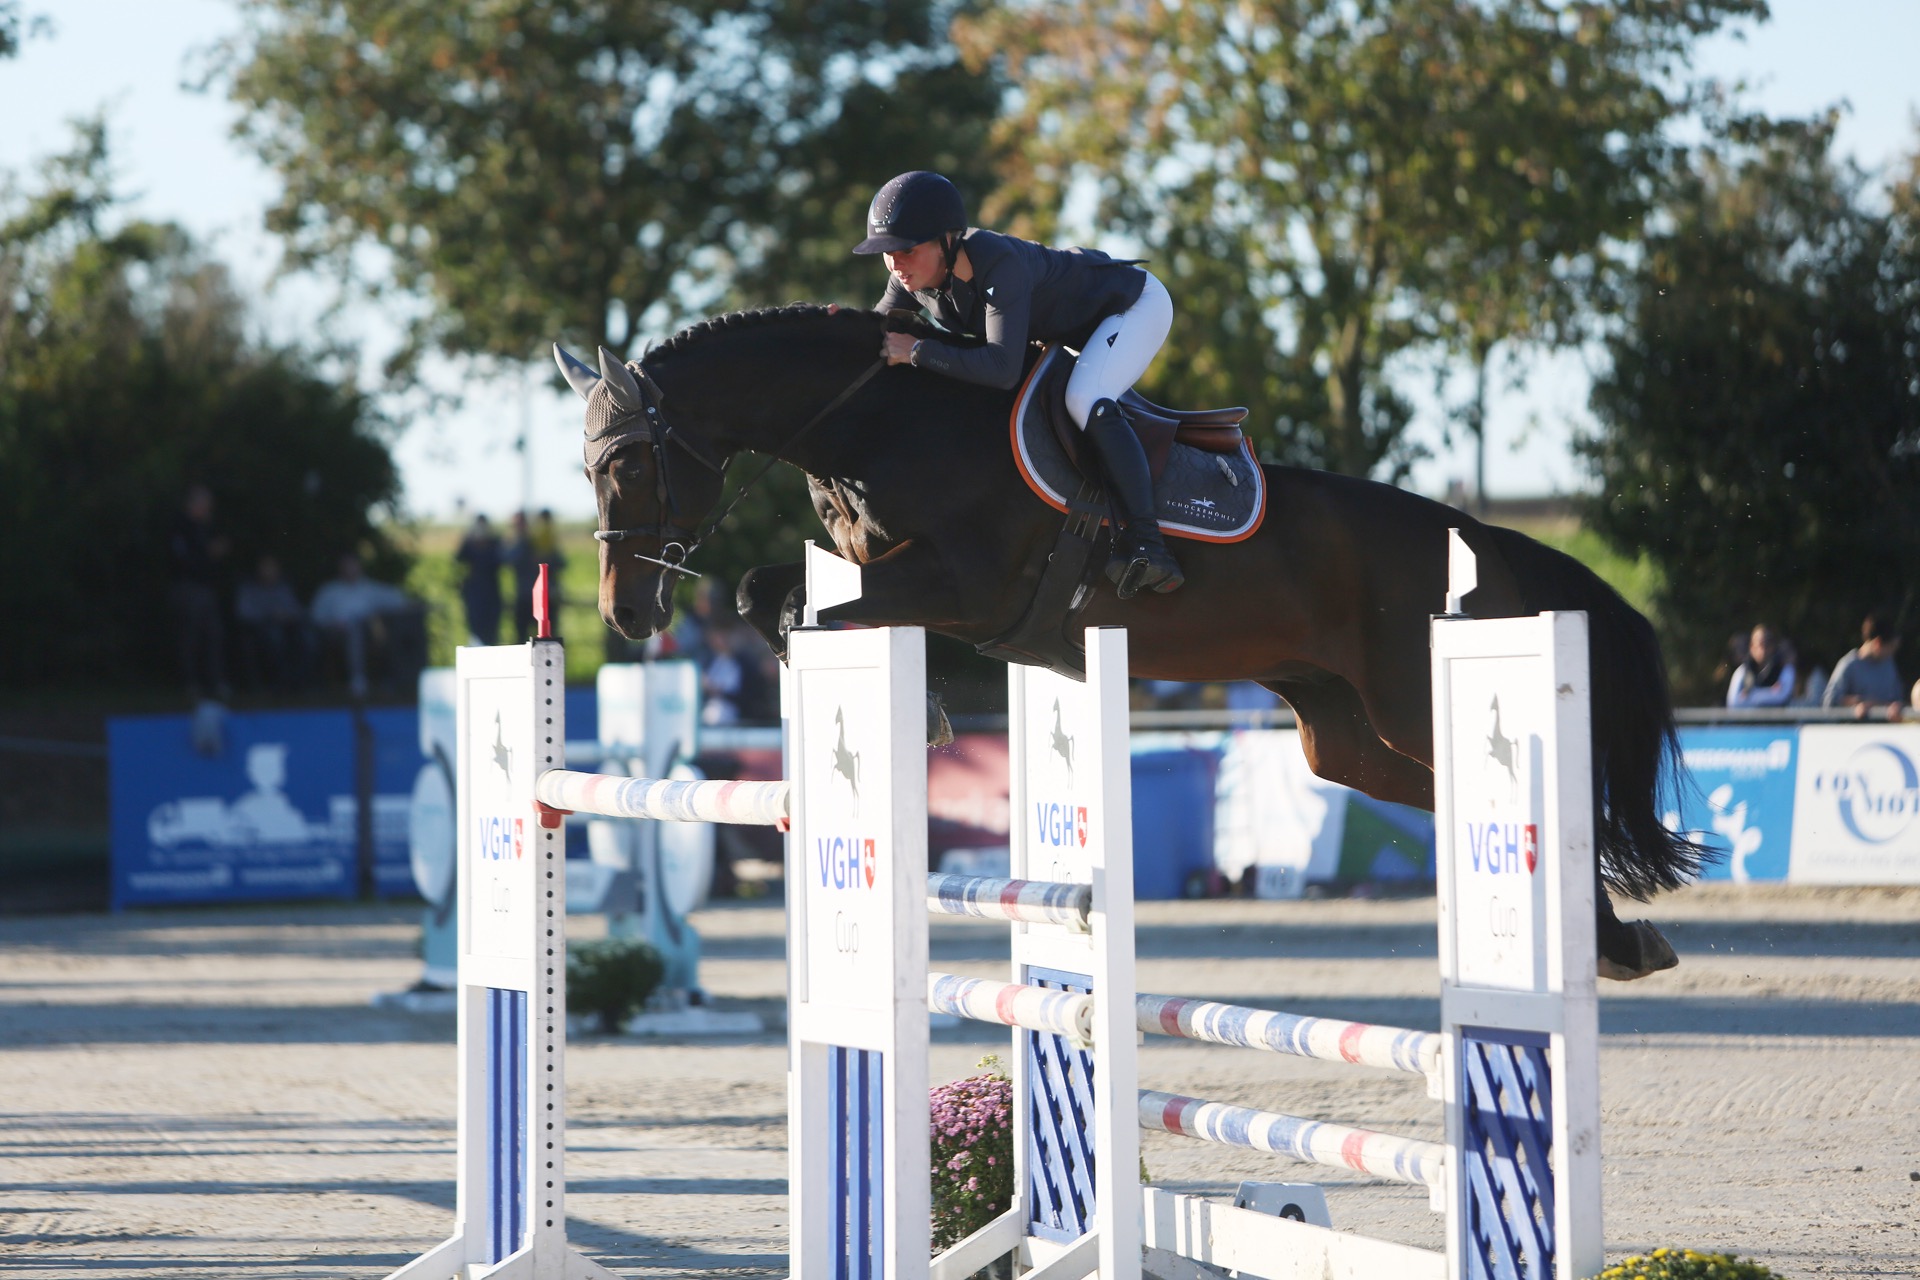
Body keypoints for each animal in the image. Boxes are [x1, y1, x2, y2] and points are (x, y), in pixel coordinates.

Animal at [552, 303, 1697, 982]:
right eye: (589, 469)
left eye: (630, 467)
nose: (624, 615)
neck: (881, 419)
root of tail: (1479, 534)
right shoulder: (883, 574)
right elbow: (769, 595)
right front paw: (903, 709)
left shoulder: (962, 585)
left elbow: (809, 611)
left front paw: (913, 712)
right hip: (1344, 733)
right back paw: (1612, 936)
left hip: (1412, 695)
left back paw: (1612, 938)